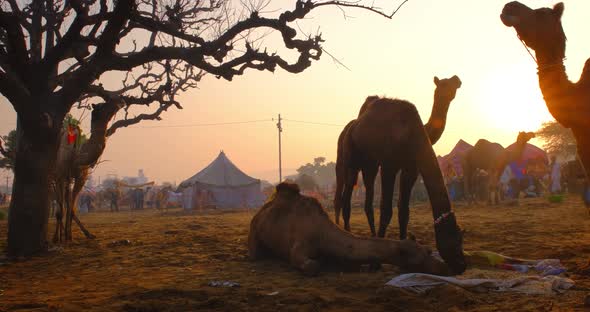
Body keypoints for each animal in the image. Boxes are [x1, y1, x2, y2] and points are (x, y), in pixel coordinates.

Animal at [251, 182, 454, 276]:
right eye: (421, 257)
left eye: (428, 250)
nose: (445, 267)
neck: (323, 235)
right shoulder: (300, 245)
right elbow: (310, 265)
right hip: (254, 228)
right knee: (255, 251)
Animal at [338, 75, 462, 239]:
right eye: (444, 83)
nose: (457, 79)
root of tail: (352, 126)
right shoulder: (388, 165)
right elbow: (386, 209)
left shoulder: (411, 168)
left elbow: (404, 211)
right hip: (351, 158)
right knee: (347, 195)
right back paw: (349, 231)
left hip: (370, 164)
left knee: (367, 198)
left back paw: (371, 234)